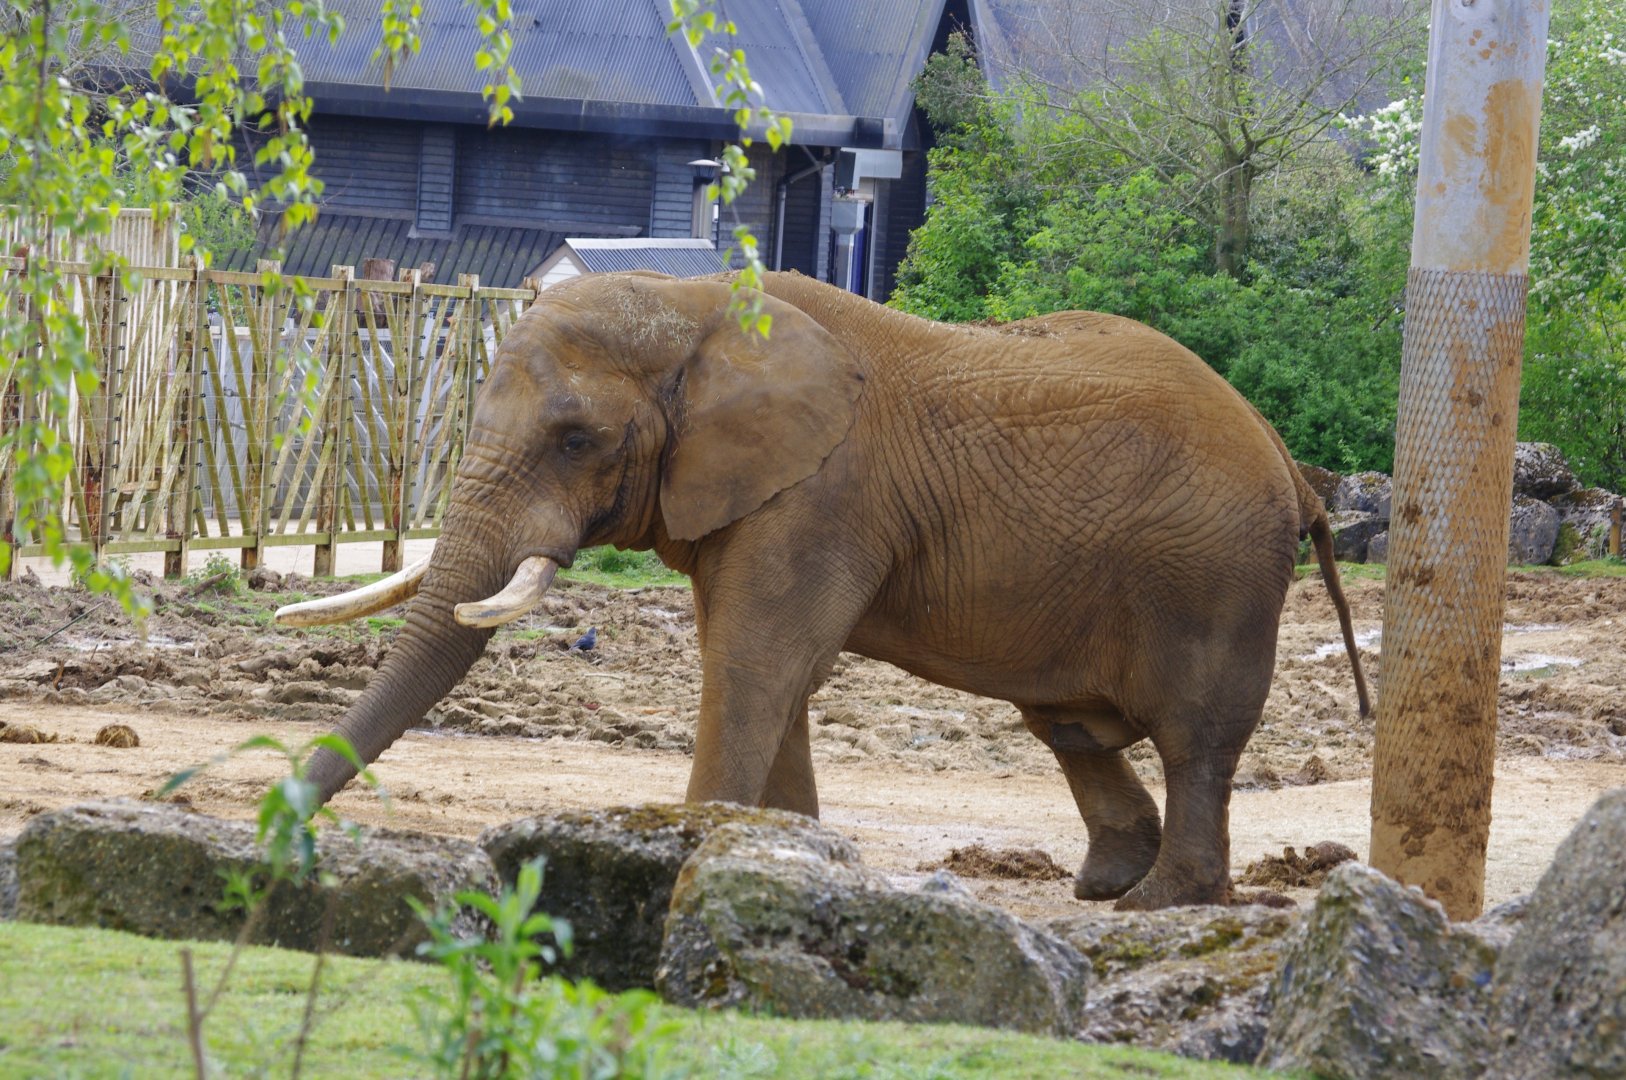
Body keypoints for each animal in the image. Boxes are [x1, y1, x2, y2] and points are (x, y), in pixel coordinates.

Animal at [277, 270, 1368, 910]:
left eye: (576, 440)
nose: (274, 832)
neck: (700, 304)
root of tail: (1291, 464)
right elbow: (771, 670)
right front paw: (788, 856)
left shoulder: (823, 493)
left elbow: (756, 663)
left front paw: (689, 852)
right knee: (1069, 723)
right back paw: (1106, 885)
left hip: (1212, 579)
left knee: (1195, 738)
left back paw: (1158, 905)